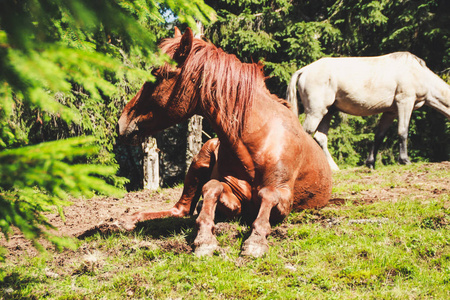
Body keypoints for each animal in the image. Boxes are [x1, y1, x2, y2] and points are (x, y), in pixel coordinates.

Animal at [118, 28, 332, 258]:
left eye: (156, 74)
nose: (122, 122)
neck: (256, 144)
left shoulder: (283, 197)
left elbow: (268, 196)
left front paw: (256, 241)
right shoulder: (234, 198)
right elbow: (212, 188)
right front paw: (205, 239)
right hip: (201, 157)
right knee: (180, 209)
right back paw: (131, 218)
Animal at [288, 51, 450, 171]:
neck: (418, 73)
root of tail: (304, 70)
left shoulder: (390, 112)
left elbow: (379, 136)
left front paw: (370, 163)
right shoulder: (405, 102)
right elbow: (402, 132)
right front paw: (405, 160)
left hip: (328, 112)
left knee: (320, 138)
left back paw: (334, 168)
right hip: (316, 112)